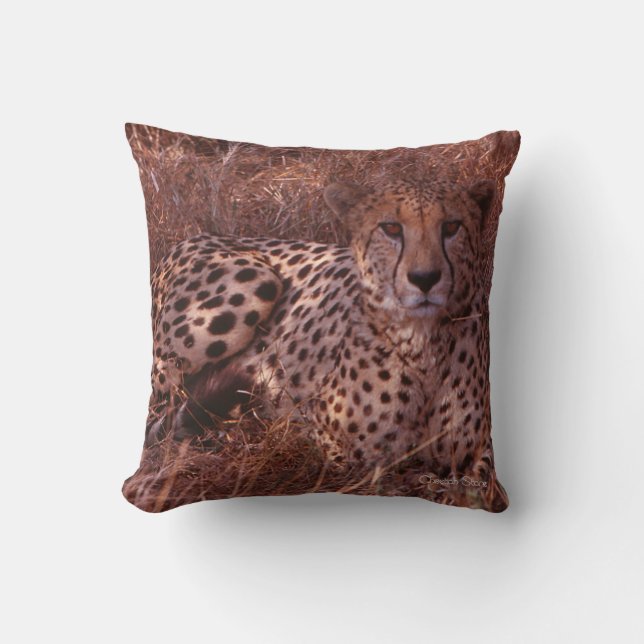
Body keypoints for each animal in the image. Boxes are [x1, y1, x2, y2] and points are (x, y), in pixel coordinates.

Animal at [146, 178, 508, 511]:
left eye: (451, 227)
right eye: (391, 228)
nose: (425, 278)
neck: (423, 345)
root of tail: (193, 238)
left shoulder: (478, 457)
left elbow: (471, 485)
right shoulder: (329, 439)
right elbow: (386, 473)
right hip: (253, 284)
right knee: (159, 418)